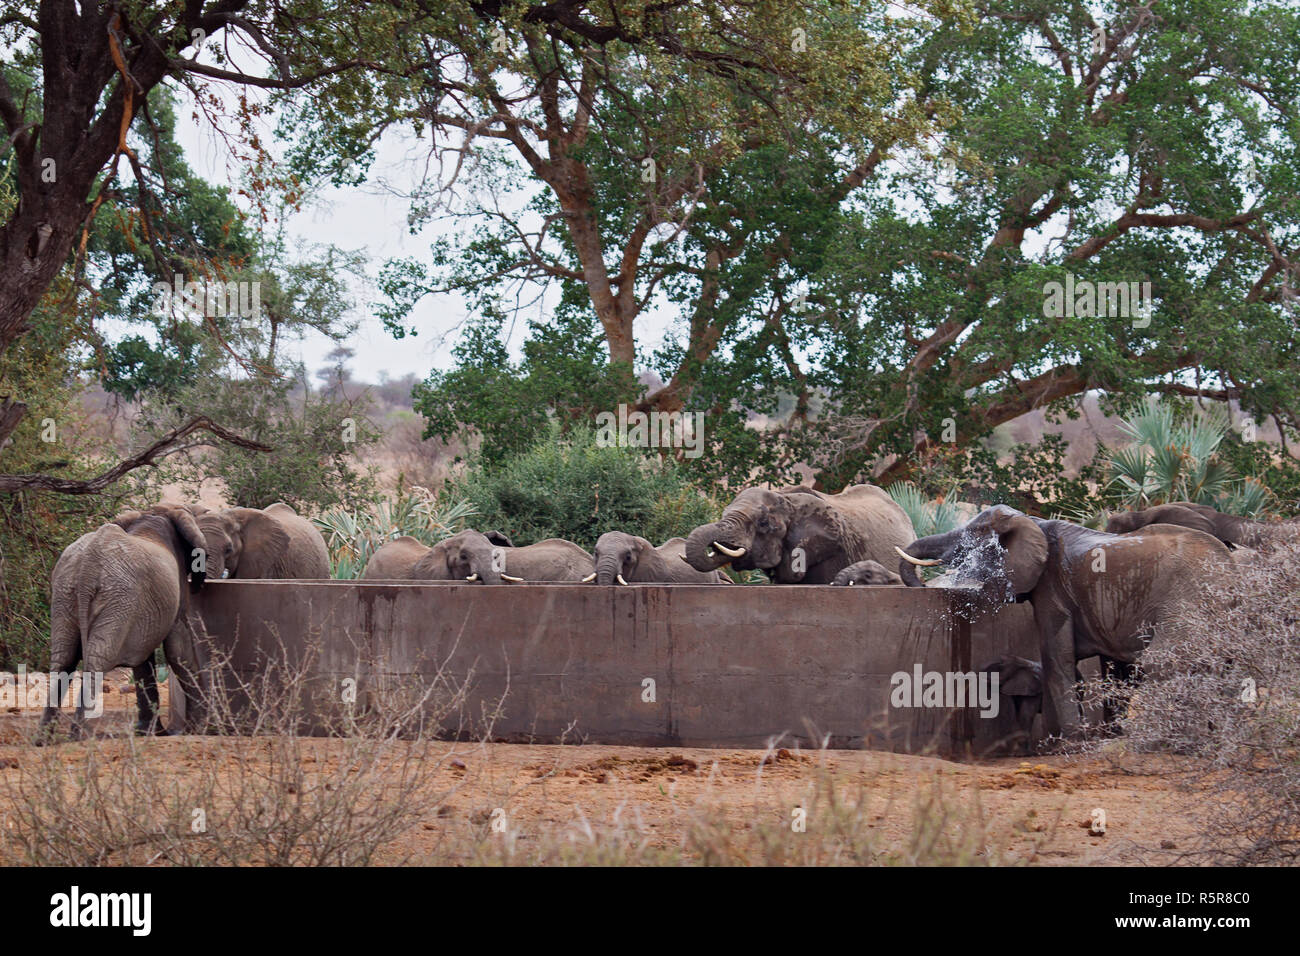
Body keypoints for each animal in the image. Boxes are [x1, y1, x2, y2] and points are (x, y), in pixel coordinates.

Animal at [41, 509, 210, 738]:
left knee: (63, 659)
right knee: (97, 659)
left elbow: (144, 662)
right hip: (117, 599)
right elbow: (178, 650)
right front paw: (198, 728)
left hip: (65, 594)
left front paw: (152, 732)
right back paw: (78, 735)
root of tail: (88, 565)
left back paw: (43, 738)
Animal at [899, 509, 1232, 738]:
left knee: (1164, 661)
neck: (1035, 523)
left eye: (973, 536)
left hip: (1188, 598)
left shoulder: (1052, 587)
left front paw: (1069, 740)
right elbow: (1108, 667)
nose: (923, 586)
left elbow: (1056, 657)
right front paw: (1103, 736)